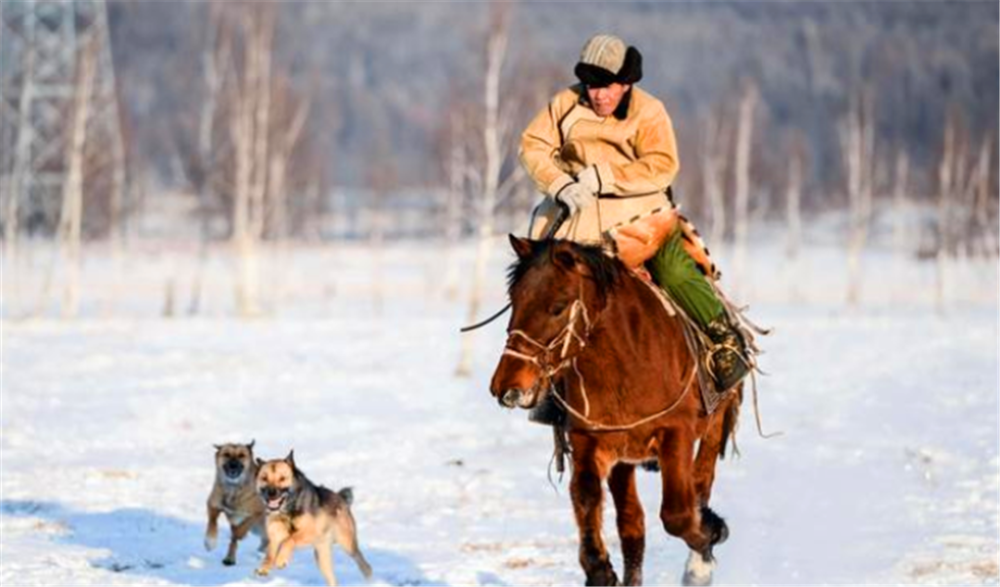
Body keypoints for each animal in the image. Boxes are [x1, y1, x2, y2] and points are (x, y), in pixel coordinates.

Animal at [254, 452, 372, 584]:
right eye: (264, 478)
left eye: (282, 478)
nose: (271, 493)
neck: (289, 511)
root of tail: (341, 498)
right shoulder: (275, 536)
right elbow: (270, 553)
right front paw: (264, 567)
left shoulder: (310, 532)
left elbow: (289, 539)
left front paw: (281, 559)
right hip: (322, 559)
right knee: (332, 579)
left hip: (347, 544)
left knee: (364, 565)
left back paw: (370, 580)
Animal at [488, 237, 740, 584]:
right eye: (515, 301)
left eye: (558, 306)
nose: (506, 387)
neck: (626, 360)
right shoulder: (589, 441)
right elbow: (585, 497)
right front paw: (600, 569)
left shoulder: (677, 433)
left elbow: (678, 513)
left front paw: (708, 544)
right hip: (625, 457)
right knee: (632, 524)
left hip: (715, 421)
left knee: (700, 485)